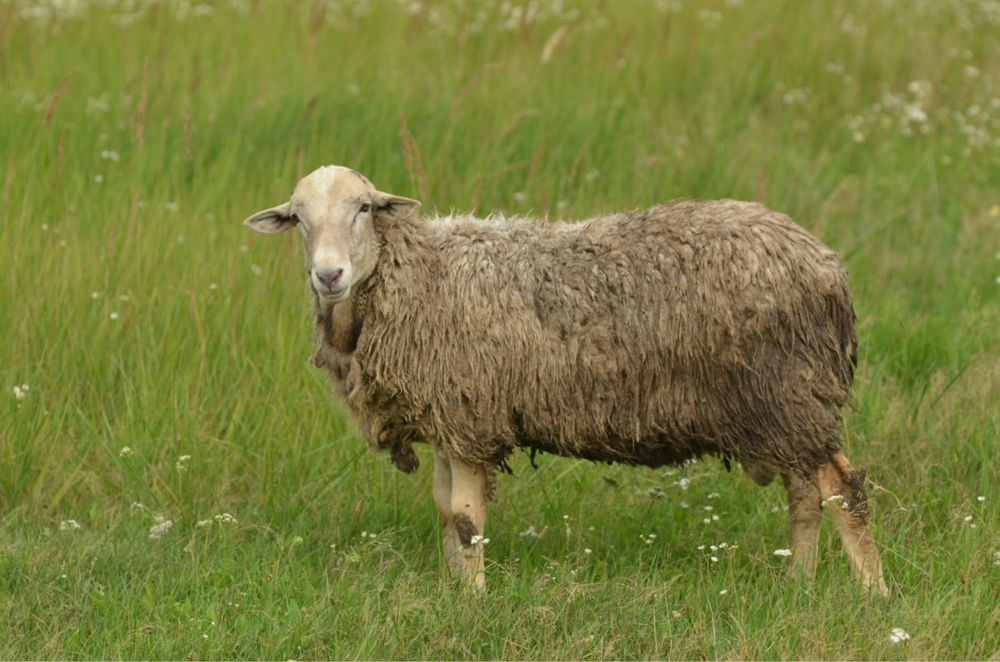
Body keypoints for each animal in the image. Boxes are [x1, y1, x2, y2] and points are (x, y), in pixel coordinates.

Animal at [246, 165, 888, 596]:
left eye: (363, 208)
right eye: (298, 219)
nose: (329, 275)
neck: (416, 276)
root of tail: (826, 266)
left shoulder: (471, 414)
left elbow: (467, 521)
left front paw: (474, 603)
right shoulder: (450, 418)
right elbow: (446, 514)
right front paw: (454, 592)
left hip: (787, 392)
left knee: (843, 490)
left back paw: (874, 597)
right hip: (784, 408)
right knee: (805, 494)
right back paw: (798, 585)